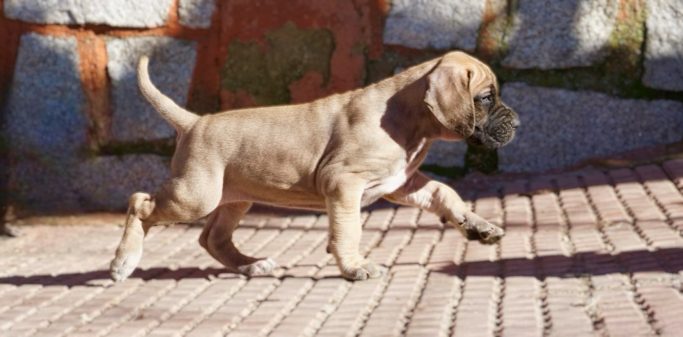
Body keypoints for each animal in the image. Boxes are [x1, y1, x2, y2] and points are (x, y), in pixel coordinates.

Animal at [111, 50, 520, 280]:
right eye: (486, 97)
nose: (517, 123)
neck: (408, 118)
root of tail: (196, 121)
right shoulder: (344, 183)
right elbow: (349, 228)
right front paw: (354, 266)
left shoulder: (402, 182)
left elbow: (446, 193)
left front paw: (477, 226)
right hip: (195, 195)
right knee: (140, 202)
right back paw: (124, 261)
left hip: (233, 198)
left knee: (212, 237)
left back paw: (250, 265)